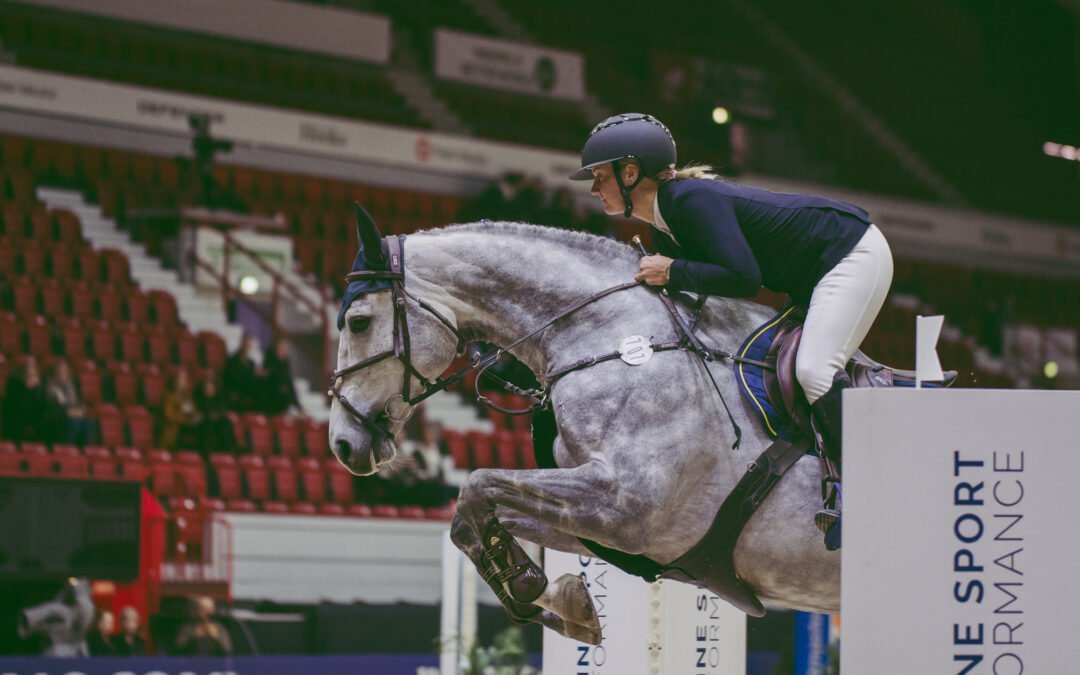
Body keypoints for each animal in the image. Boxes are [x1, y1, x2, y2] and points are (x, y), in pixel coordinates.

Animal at [329, 210, 841, 645]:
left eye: (358, 322)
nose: (341, 444)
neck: (616, 337)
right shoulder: (612, 526)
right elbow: (469, 520)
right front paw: (557, 601)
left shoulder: (626, 504)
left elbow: (477, 484)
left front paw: (534, 588)